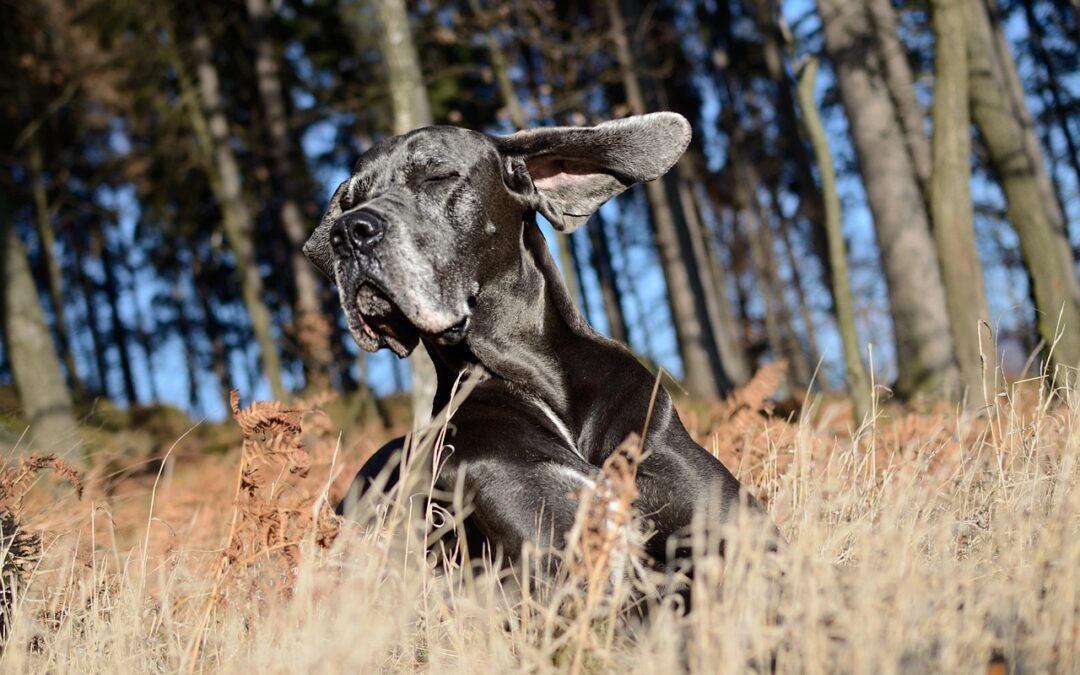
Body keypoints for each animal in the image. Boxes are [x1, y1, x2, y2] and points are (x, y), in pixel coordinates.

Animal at [304, 111, 777, 574]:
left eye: (436, 176)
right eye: (348, 202)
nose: (347, 231)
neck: (541, 383)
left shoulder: (741, 534)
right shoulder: (563, 557)